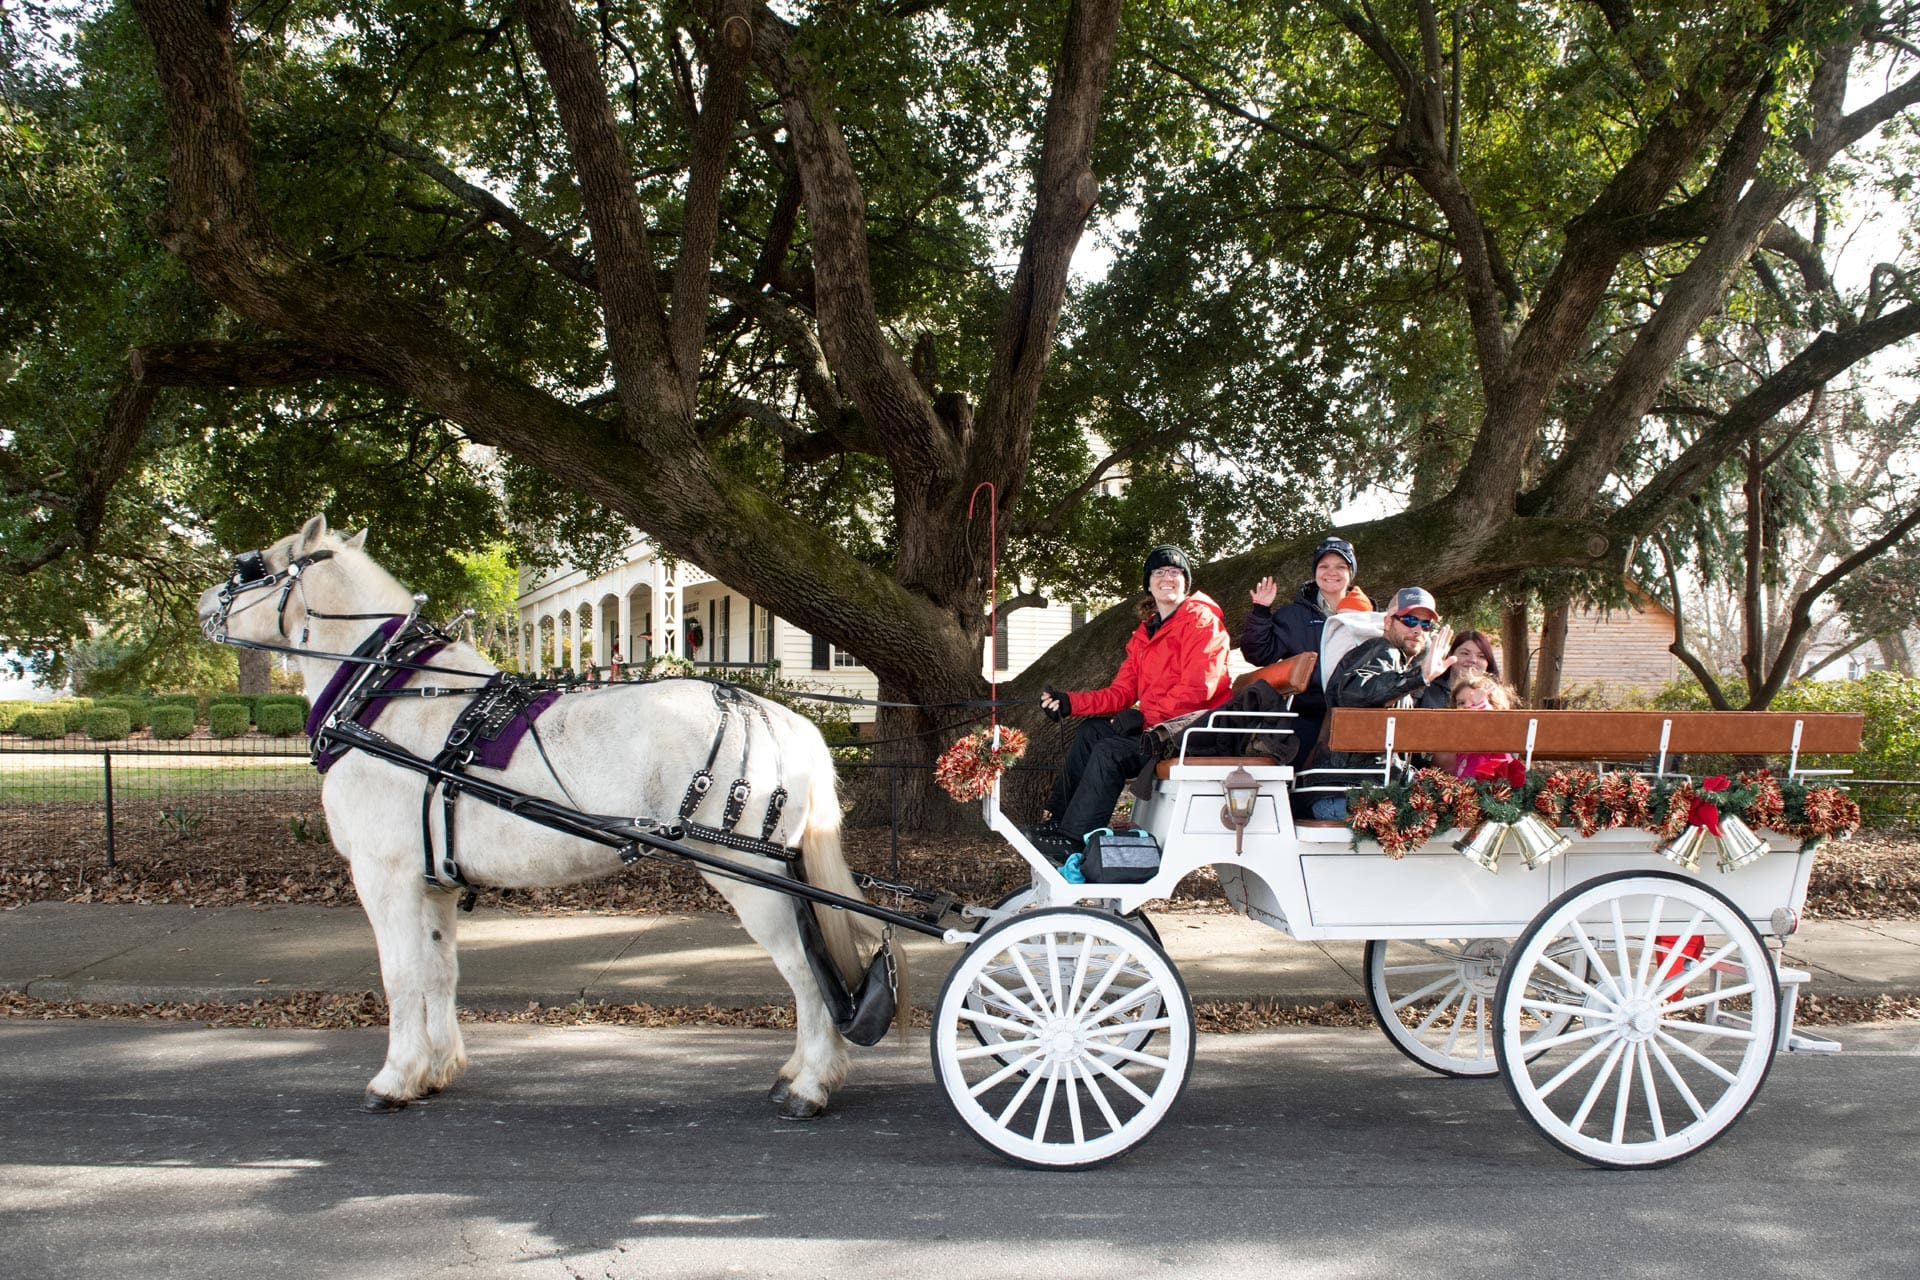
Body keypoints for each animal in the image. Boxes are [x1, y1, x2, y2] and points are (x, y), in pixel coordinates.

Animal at [194, 514, 883, 1113]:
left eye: (251, 566)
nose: (204, 605)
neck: (386, 696)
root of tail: (776, 714)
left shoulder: (385, 876)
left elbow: (402, 975)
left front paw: (395, 1078)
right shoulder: (433, 882)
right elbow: (440, 971)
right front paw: (436, 1069)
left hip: (748, 875)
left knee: (806, 972)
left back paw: (810, 1084)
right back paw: (800, 1071)